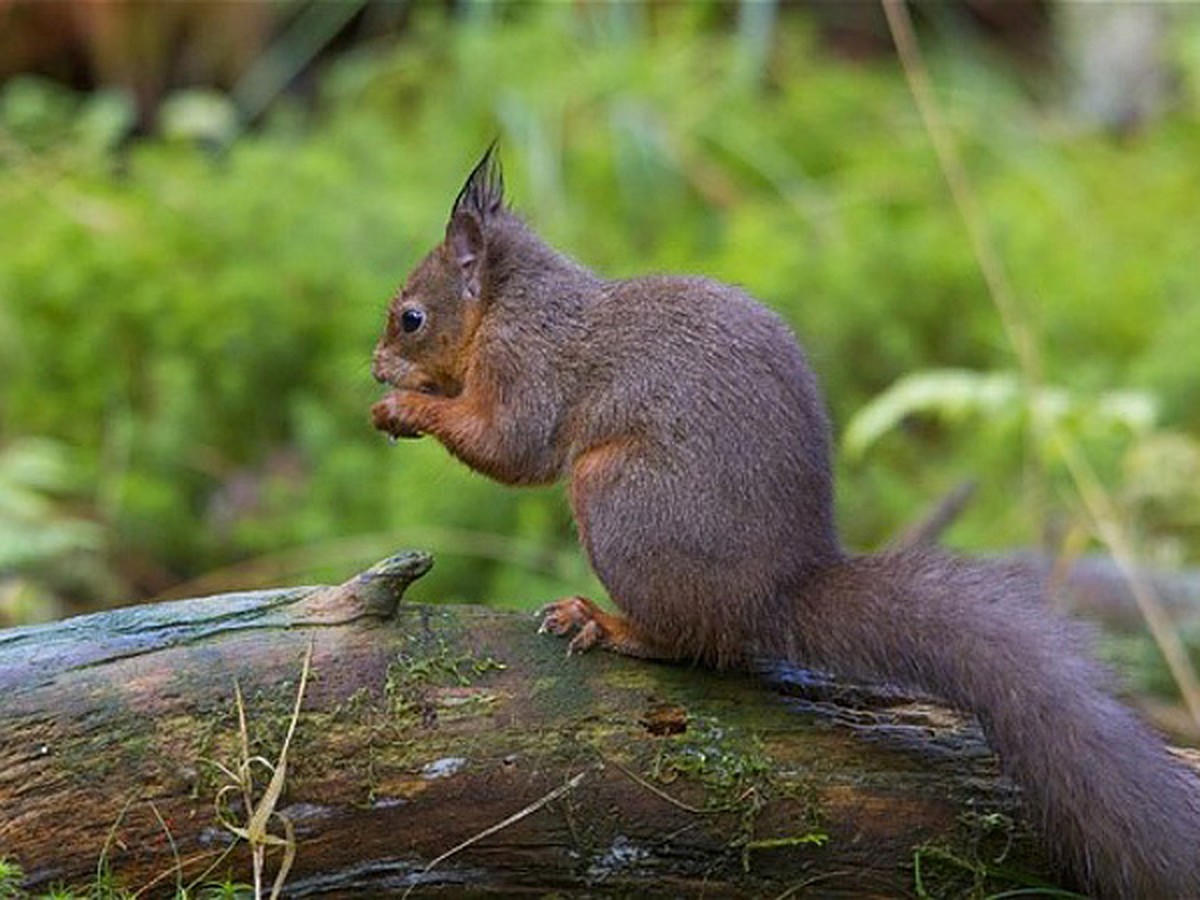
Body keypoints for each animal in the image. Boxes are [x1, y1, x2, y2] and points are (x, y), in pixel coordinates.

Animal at [369, 146, 1200, 897]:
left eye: (411, 317)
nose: (374, 366)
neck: (512, 303)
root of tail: (778, 590)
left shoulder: (526, 367)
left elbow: (510, 446)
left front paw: (406, 408)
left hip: (615, 499)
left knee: (690, 644)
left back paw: (606, 623)